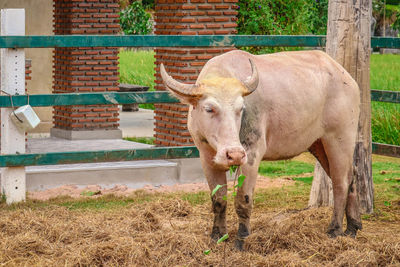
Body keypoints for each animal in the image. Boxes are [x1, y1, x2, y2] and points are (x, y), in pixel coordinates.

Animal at [160, 49, 362, 250]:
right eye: (209, 108)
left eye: (240, 109)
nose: (234, 155)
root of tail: (346, 77)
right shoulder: (206, 157)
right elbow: (218, 199)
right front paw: (217, 236)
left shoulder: (251, 155)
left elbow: (243, 200)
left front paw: (241, 239)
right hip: (317, 144)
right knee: (351, 176)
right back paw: (353, 227)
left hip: (339, 139)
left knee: (340, 183)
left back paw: (335, 230)